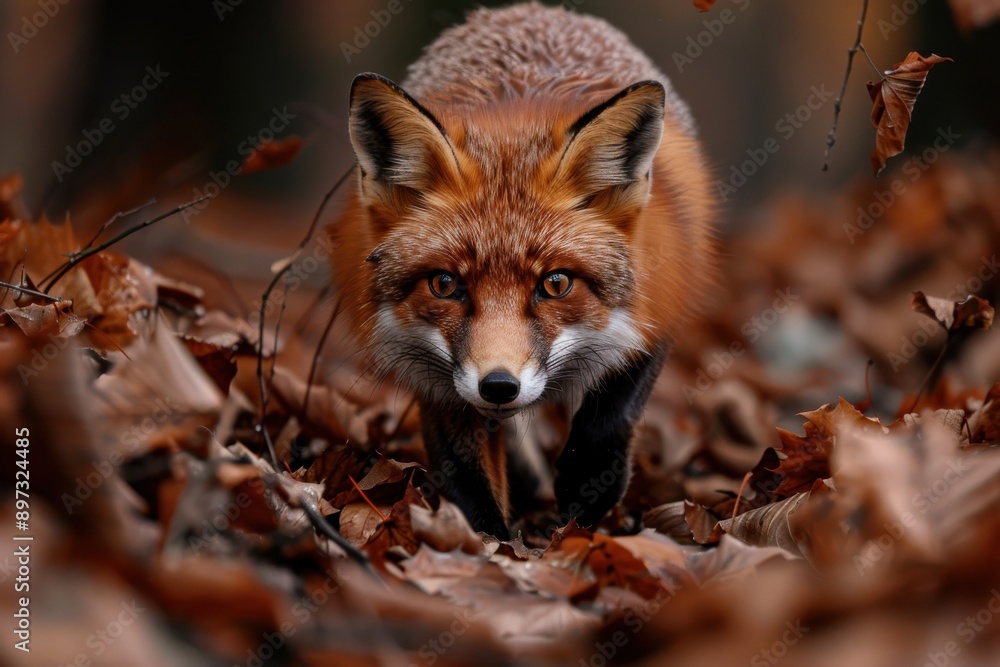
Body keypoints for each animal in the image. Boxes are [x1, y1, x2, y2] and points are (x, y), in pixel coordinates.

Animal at [329, 3, 714, 538]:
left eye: (556, 283)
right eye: (445, 284)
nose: (498, 385)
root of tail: (533, 9)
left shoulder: (657, 305)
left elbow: (609, 418)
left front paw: (586, 494)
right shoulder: (435, 375)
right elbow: (468, 480)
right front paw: (493, 544)